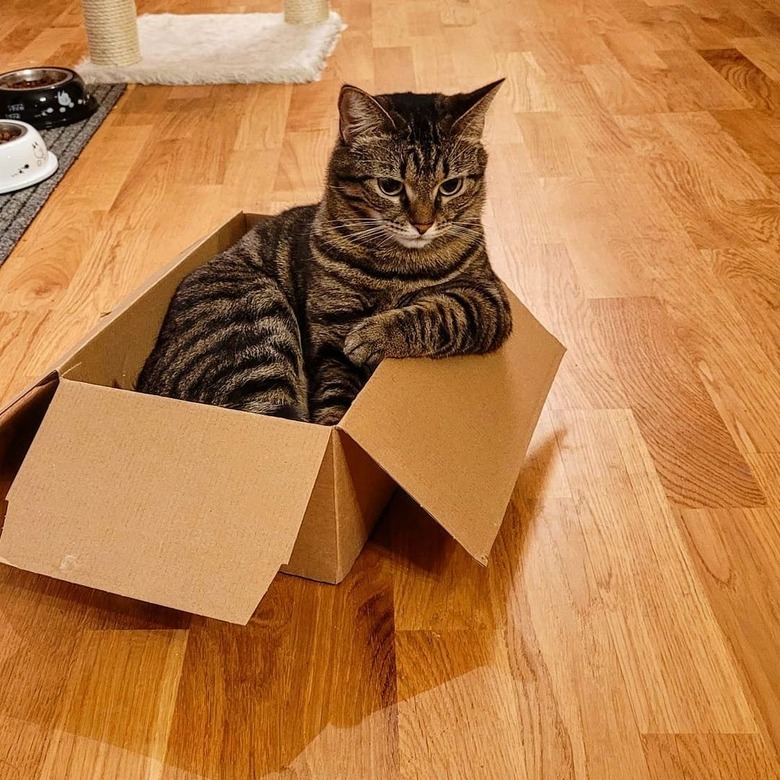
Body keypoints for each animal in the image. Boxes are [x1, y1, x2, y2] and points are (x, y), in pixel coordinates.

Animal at [136, 81, 512, 424]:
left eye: (451, 186)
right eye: (389, 186)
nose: (423, 224)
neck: (399, 267)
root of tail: (145, 384)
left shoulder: (488, 299)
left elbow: (443, 312)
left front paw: (372, 333)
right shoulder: (329, 334)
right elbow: (334, 401)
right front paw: (335, 429)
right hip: (257, 320)